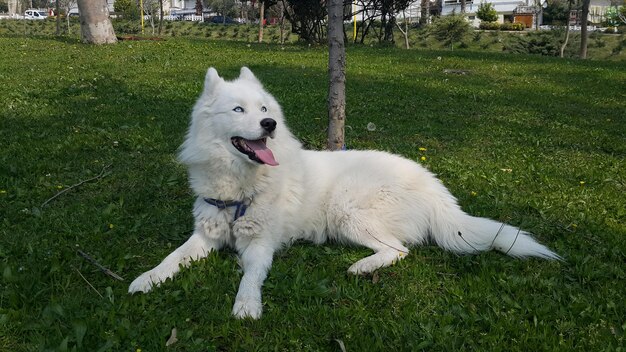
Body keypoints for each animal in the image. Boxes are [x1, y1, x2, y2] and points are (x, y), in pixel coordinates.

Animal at [128, 67, 560, 320]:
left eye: (264, 109)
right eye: (238, 110)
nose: (269, 125)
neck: (241, 187)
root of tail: (436, 188)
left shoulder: (261, 246)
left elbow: (250, 277)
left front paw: (247, 305)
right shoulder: (205, 235)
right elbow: (171, 258)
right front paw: (146, 280)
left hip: (346, 211)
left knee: (399, 250)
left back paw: (362, 266)